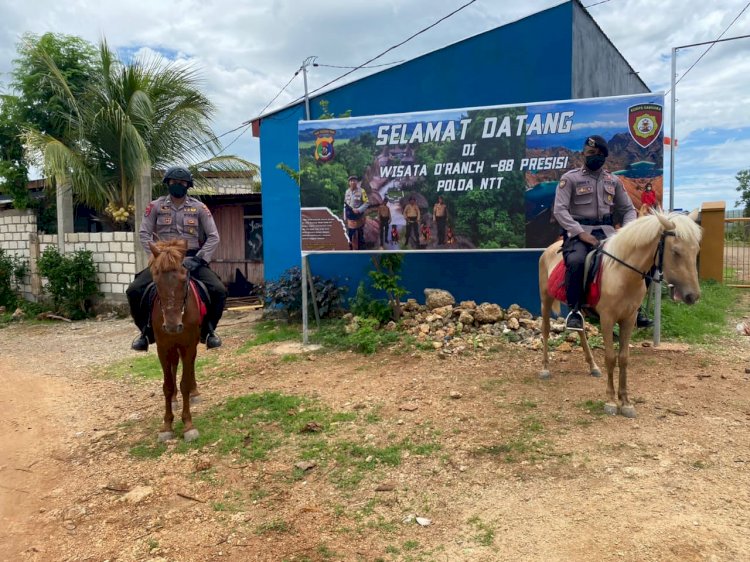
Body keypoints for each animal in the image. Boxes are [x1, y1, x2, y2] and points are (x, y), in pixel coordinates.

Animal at [148, 238, 203, 440]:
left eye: (183, 278)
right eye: (156, 280)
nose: (172, 326)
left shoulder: (188, 344)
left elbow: (184, 383)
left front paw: (188, 424)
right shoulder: (163, 348)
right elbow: (168, 385)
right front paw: (167, 425)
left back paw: (195, 392)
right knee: (173, 366)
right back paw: (174, 399)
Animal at [540, 210, 704, 416]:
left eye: (696, 251)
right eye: (675, 252)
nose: (692, 296)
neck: (621, 274)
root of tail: (549, 249)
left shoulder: (629, 319)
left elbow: (624, 358)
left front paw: (625, 402)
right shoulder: (607, 319)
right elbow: (611, 357)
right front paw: (611, 401)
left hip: (577, 307)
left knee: (580, 330)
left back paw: (593, 366)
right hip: (545, 300)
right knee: (546, 330)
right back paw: (545, 367)